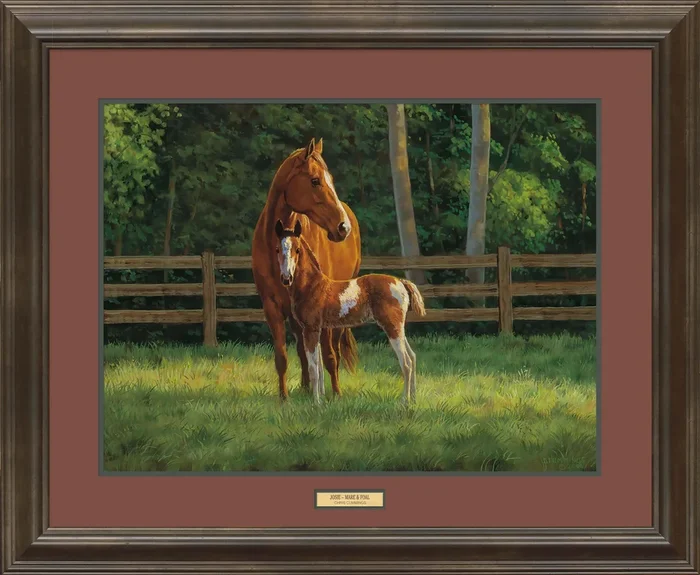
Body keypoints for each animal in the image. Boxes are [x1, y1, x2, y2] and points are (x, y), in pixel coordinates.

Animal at [251, 138, 362, 400]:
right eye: (315, 180)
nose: (343, 227)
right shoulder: (271, 307)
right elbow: (283, 357)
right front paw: (284, 398)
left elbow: (328, 356)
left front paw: (336, 394)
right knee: (303, 349)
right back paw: (304, 387)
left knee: (332, 351)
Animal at [275, 219, 426, 405]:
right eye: (277, 249)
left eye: (297, 249)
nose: (286, 278)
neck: (312, 286)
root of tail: (400, 282)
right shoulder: (317, 330)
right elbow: (319, 367)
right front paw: (321, 398)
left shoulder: (310, 330)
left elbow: (313, 368)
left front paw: (316, 403)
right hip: (398, 328)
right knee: (413, 357)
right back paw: (414, 400)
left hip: (392, 328)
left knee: (405, 362)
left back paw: (404, 402)